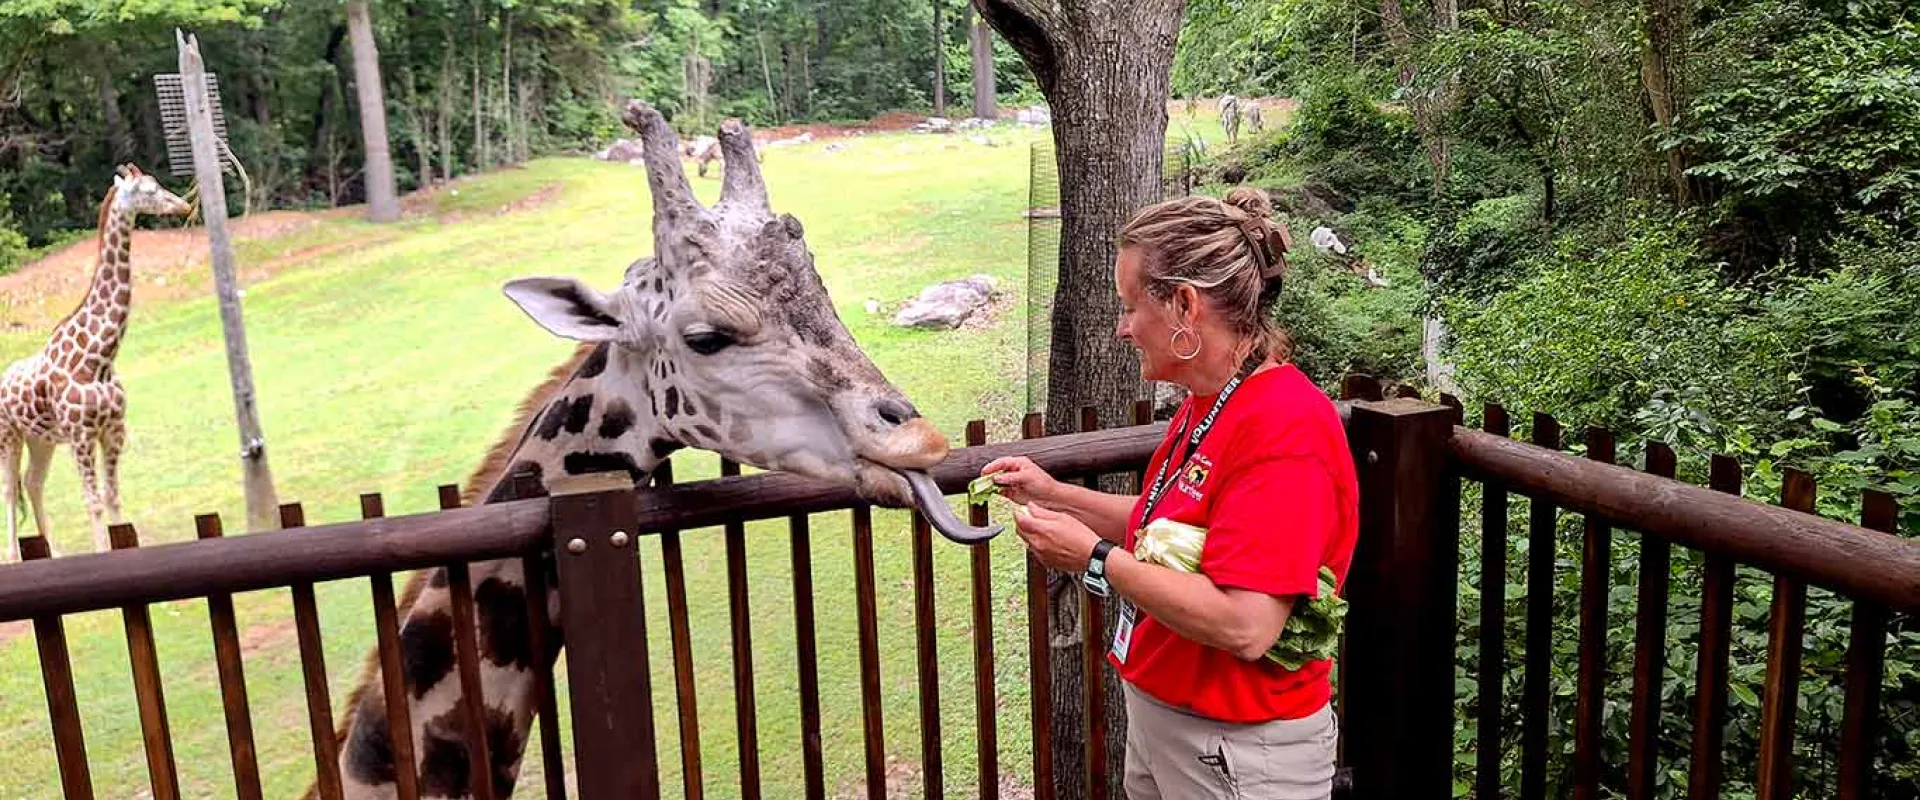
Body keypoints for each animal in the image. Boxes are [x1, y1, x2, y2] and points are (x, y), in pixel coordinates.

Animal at [0, 165, 188, 562]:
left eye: (158, 183)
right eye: (149, 189)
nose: (183, 205)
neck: (99, 357)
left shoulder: (113, 430)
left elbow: (113, 497)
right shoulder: (81, 436)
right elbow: (94, 501)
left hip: (41, 438)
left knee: (33, 482)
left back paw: (53, 552)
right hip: (9, 435)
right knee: (9, 489)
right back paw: (12, 556)